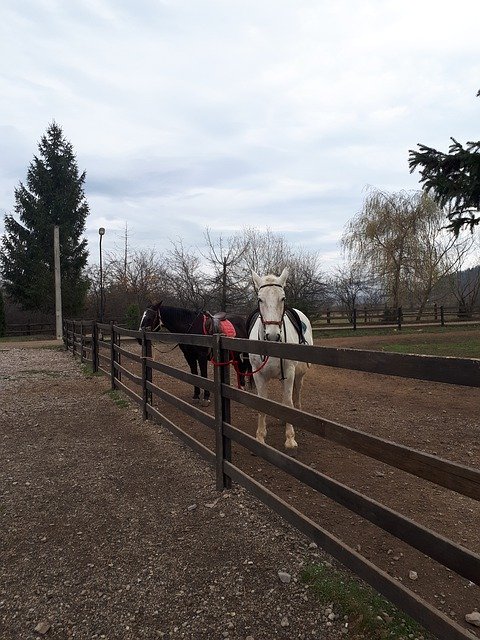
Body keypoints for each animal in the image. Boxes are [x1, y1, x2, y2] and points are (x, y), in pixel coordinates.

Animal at [248, 268, 316, 452]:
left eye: (283, 298)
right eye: (260, 299)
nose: (272, 336)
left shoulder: (290, 373)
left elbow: (288, 403)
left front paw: (290, 439)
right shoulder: (258, 375)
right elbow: (261, 404)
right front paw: (260, 437)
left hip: (298, 375)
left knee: (296, 395)